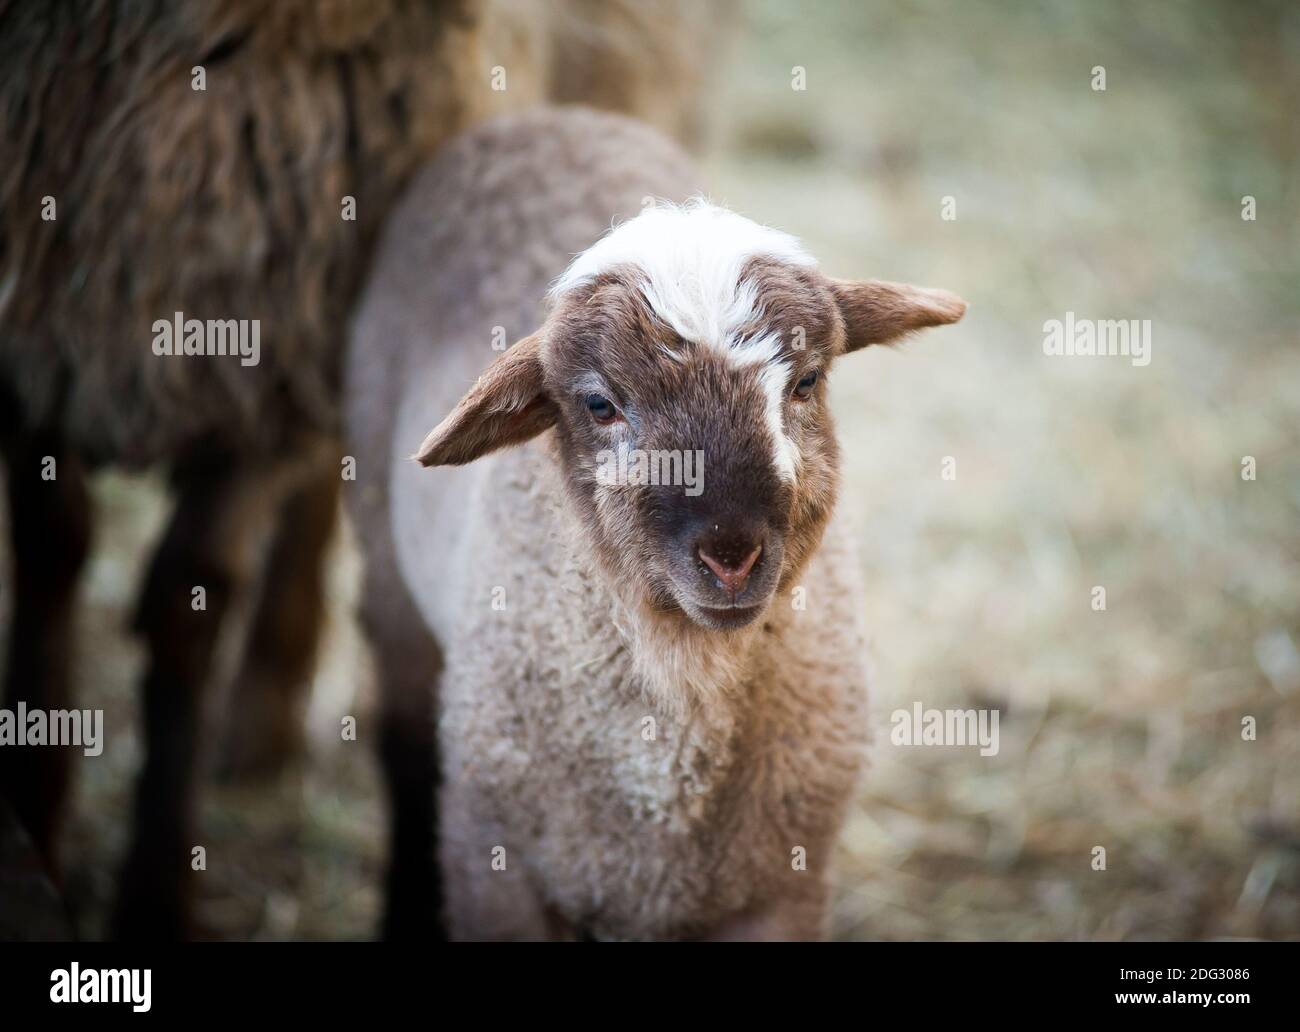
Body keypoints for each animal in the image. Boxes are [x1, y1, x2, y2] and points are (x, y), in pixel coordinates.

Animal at [0, 0, 730, 939]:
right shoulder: (34, 334)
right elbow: (53, 554)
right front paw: (35, 829)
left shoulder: (281, 349)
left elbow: (189, 593)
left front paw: (155, 896)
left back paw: (264, 711)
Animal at [347, 106, 966, 940]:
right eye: (599, 404)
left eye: (806, 382)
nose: (732, 553)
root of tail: (546, 118)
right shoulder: (495, 866)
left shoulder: (785, 887)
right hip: (391, 580)